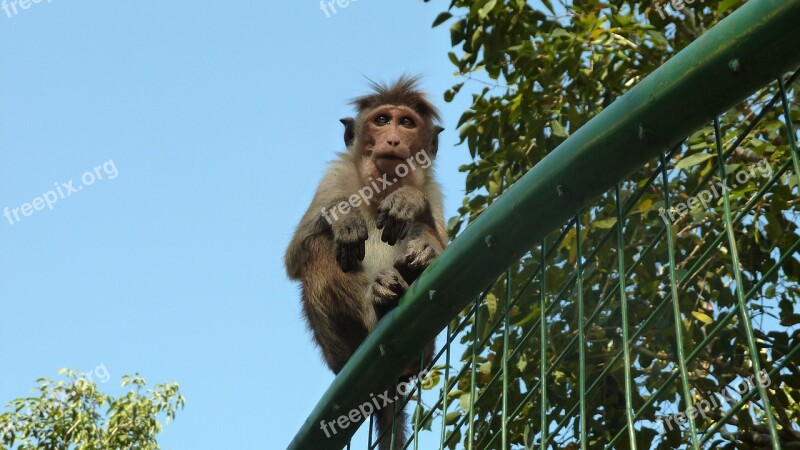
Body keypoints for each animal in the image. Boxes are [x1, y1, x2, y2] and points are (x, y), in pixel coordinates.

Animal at [286, 76, 450, 450]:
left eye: (406, 123)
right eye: (382, 120)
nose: (392, 139)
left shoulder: (432, 189)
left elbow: (443, 244)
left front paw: (408, 203)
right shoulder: (334, 176)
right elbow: (295, 253)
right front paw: (343, 217)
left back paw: (412, 266)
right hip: (337, 354)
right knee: (319, 247)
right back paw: (376, 298)